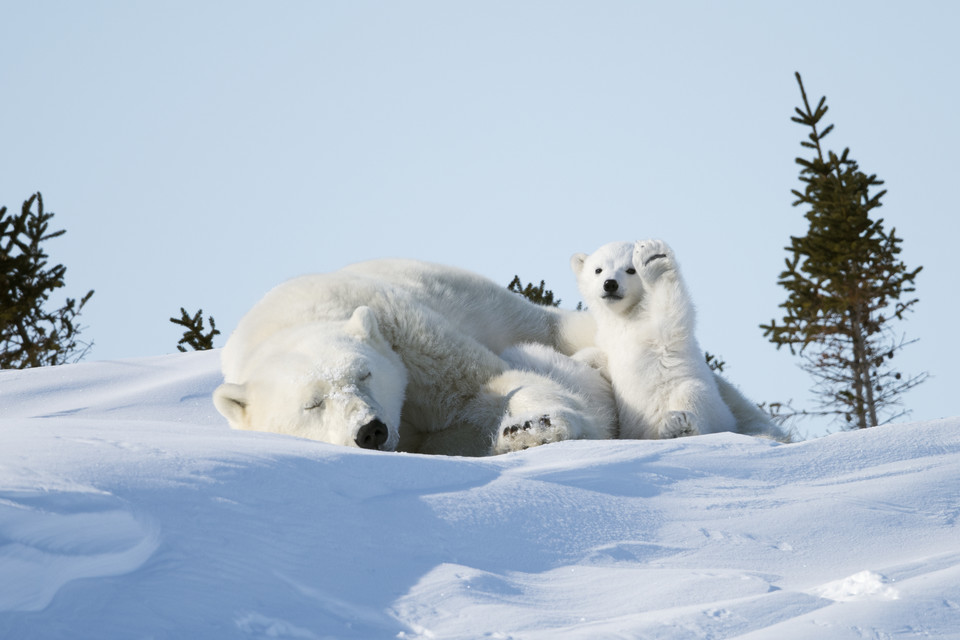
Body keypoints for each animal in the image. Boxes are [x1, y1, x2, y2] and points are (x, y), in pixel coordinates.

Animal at [214, 258, 612, 458]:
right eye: (312, 404)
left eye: (365, 374)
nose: (370, 431)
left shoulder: (405, 334)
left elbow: (486, 384)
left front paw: (534, 428)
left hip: (506, 310)